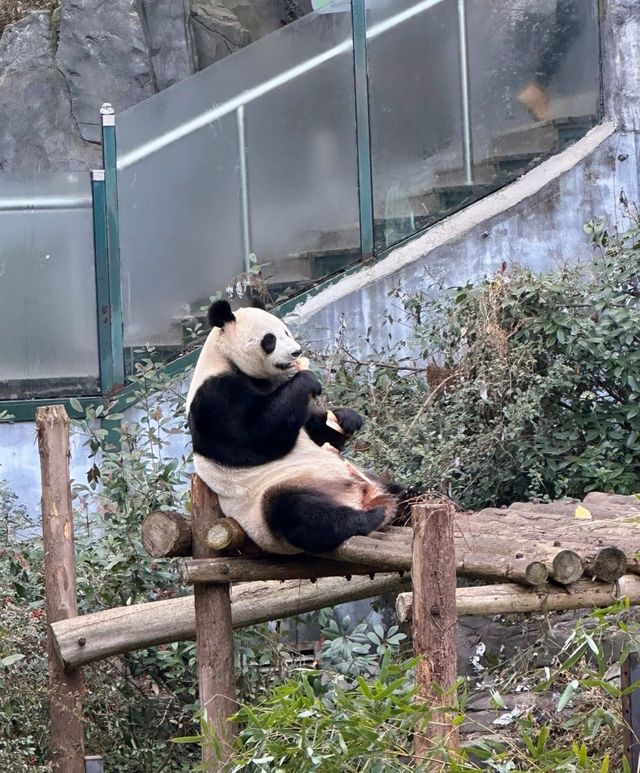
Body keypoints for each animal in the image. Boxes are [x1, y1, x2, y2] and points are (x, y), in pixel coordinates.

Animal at [184, 298, 400, 552]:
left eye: (286, 331)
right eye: (270, 339)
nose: (297, 351)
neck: (225, 359)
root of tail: (364, 497)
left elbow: (313, 428)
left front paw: (346, 419)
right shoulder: (213, 398)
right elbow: (253, 437)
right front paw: (307, 380)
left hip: (366, 477)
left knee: (397, 488)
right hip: (271, 497)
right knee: (297, 512)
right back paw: (370, 517)